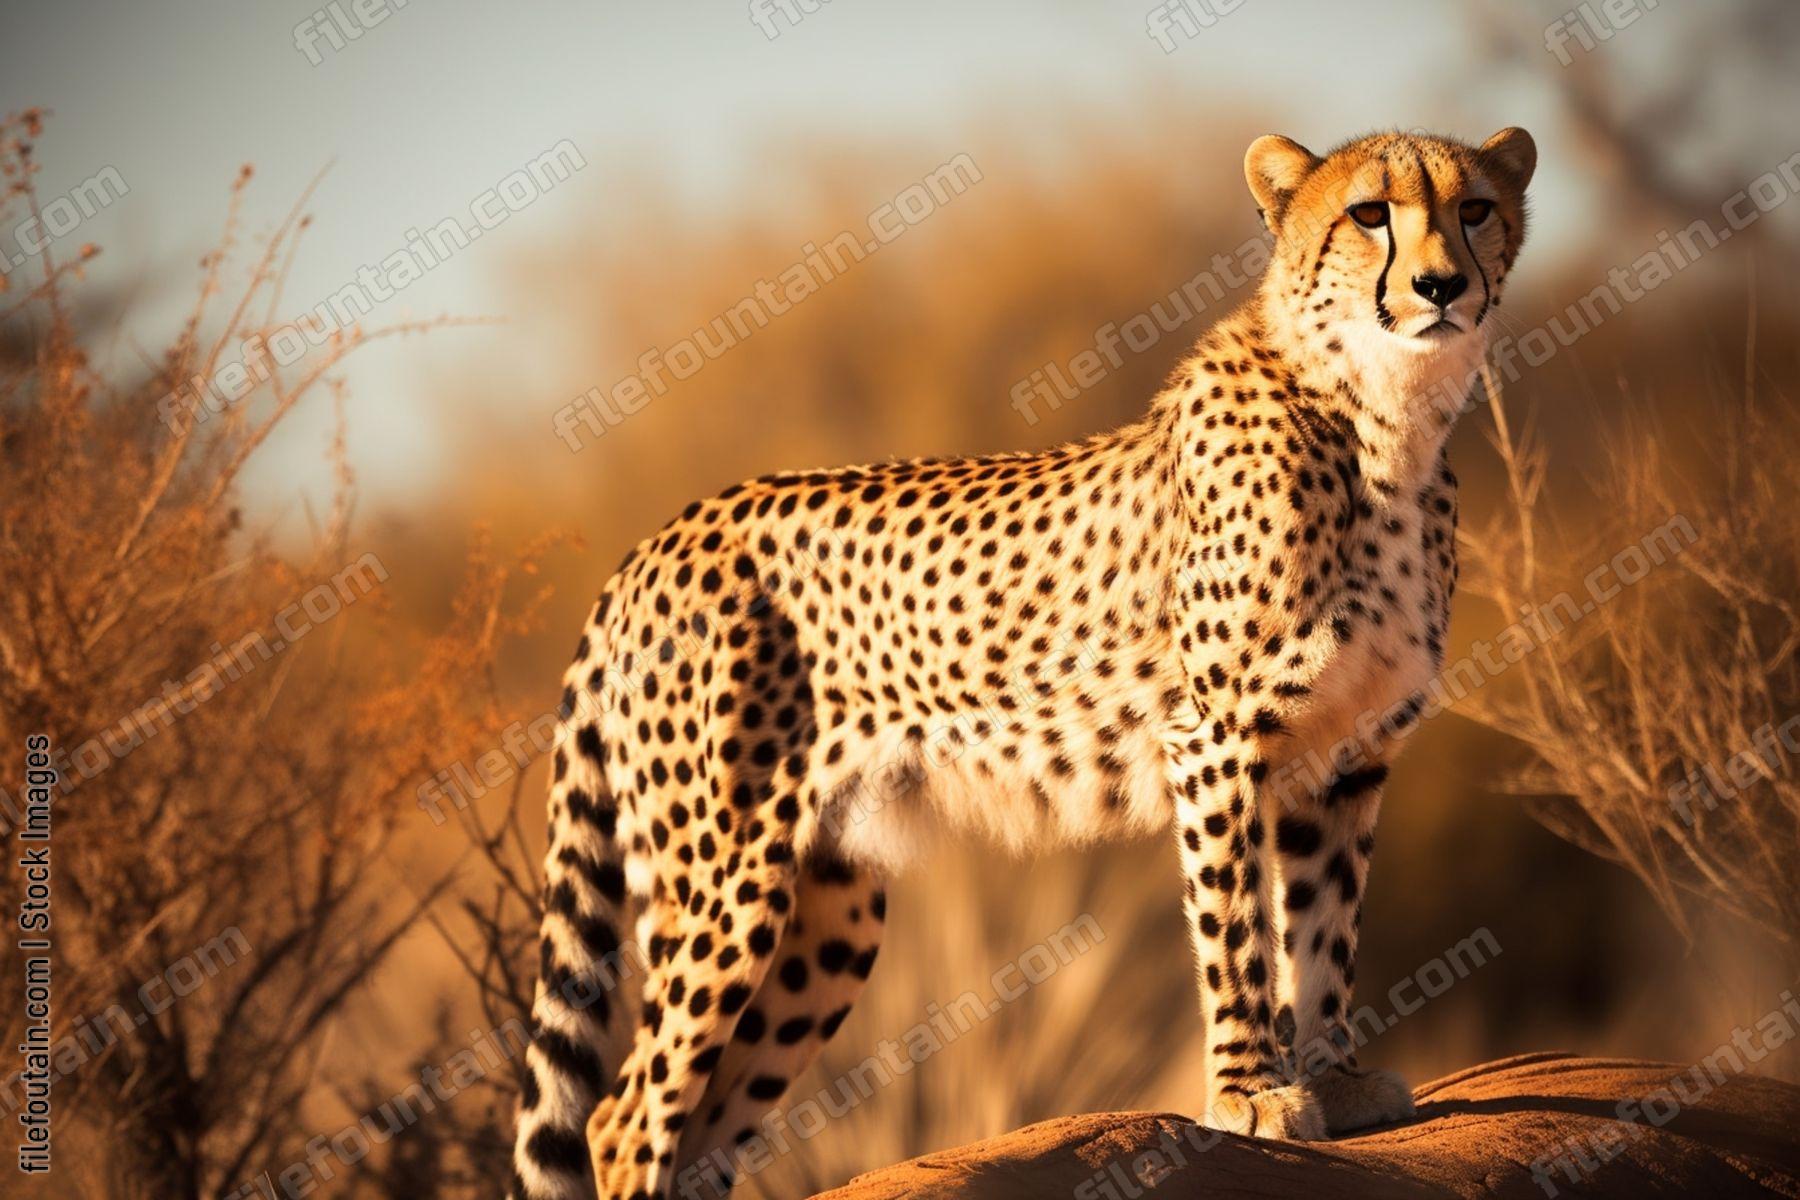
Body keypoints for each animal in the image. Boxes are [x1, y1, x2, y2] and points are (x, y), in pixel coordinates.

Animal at [507, 126, 1537, 1200]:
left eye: (1473, 209)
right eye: (1370, 213)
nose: (1438, 285)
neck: (1383, 418)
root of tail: (655, 539)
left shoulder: (1347, 758)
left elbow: (1324, 929)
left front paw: (1335, 1080)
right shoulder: (1216, 744)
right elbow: (1239, 931)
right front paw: (1251, 1092)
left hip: (827, 911)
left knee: (701, 1123)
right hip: (727, 869)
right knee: (624, 1116)